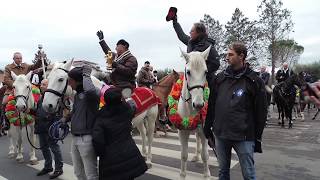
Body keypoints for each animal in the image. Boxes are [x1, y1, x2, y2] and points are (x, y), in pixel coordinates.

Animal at [176, 46, 211, 179]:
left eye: (205, 72)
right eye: (188, 72)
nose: (199, 105)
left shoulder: (204, 131)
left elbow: (205, 155)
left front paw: (206, 174)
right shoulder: (182, 132)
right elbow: (183, 154)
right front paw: (182, 174)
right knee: (197, 140)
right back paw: (196, 156)